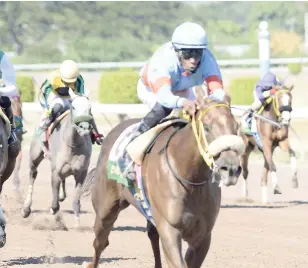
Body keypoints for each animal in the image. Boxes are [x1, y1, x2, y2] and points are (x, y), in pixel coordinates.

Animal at [83, 88, 244, 268]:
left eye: (236, 127)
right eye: (207, 127)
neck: (190, 176)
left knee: (152, 235)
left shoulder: (203, 237)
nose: (230, 169)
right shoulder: (170, 230)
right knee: (100, 242)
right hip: (105, 209)